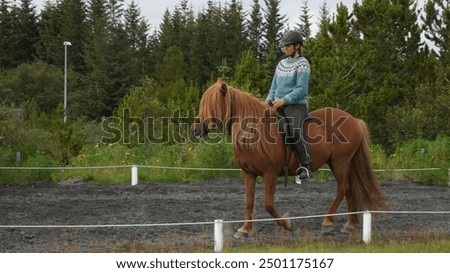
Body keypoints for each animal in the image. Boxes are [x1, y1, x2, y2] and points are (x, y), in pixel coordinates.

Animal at [190, 77, 386, 237]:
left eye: (212, 104)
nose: (195, 129)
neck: (255, 134)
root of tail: (354, 120)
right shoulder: (248, 173)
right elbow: (249, 201)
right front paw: (245, 229)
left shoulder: (270, 173)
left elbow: (268, 204)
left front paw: (287, 224)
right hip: (343, 163)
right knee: (351, 189)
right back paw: (350, 225)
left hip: (340, 162)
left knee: (343, 188)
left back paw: (328, 221)